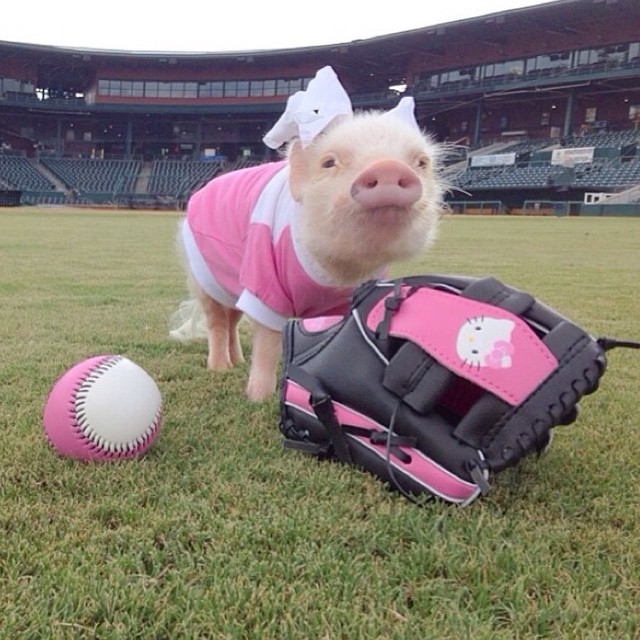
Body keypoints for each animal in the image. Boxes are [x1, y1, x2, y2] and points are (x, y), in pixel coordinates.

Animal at [172, 67, 448, 402]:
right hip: (204, 280)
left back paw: (237, 362)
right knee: (217, 323)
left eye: (421, 163)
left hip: (234, 285)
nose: (388, 168)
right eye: (329, 162)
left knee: (233, 320)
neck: (337, 271)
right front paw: (259, 398)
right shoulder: (264, 283)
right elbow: (268, 345)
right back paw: (220, 369)